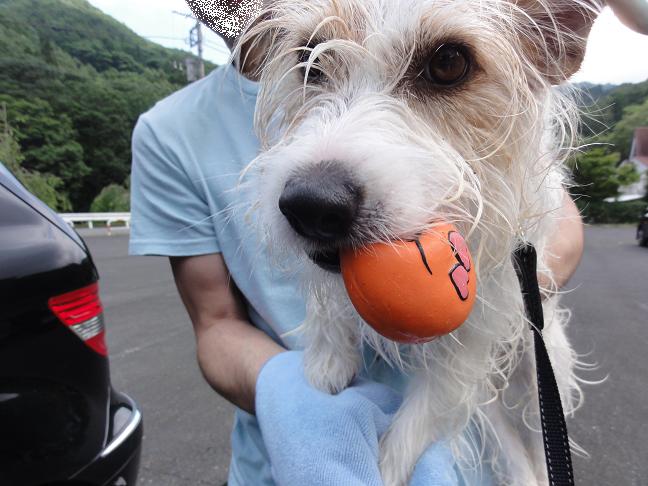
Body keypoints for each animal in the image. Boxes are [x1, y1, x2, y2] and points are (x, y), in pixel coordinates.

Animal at [235, 1, 600, 484]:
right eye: (308, 58)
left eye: (448, 62)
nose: (311, 207)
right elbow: (325, 298)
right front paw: (329, 357)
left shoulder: (484, 323)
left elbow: (429, 404)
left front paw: (387, 464)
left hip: (539, 366)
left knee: (537, 438)